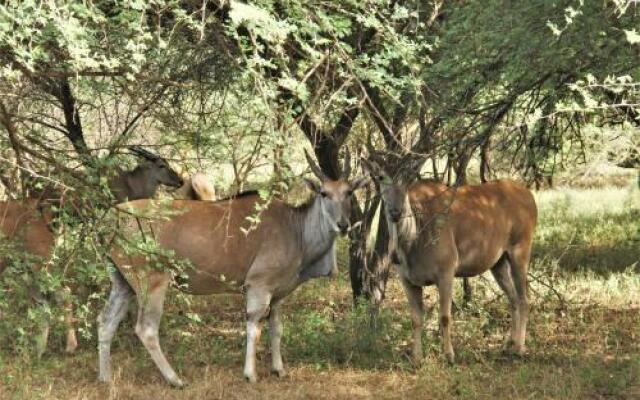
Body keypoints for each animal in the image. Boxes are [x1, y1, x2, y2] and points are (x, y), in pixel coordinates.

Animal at [97, 152, 368, 386]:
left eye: (349, 192)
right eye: (324, 193)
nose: (343, 225)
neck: (294, 226)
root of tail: (112, 220)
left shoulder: (278, 294)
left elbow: (276, 328)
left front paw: (278, 369)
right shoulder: (258, 286)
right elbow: (253, 327)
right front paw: (250, 374)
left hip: (122, 282)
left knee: (106, 321)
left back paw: (106, 378)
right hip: (152, 281)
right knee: (146, 328)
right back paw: (175, 380)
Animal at [362, 159, 536, 362]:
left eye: (406, 179)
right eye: (381, 177)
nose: (395, 211)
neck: (416, 234)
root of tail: (528, 195)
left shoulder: (446, 273)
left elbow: (445, 316)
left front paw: (449, 355)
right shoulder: (408, 281)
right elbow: (416, 319)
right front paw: (416, 357)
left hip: (520, 251)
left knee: (524, 299)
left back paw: (519, 347)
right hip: (498, 263)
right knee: (513, 299)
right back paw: (508, 344)